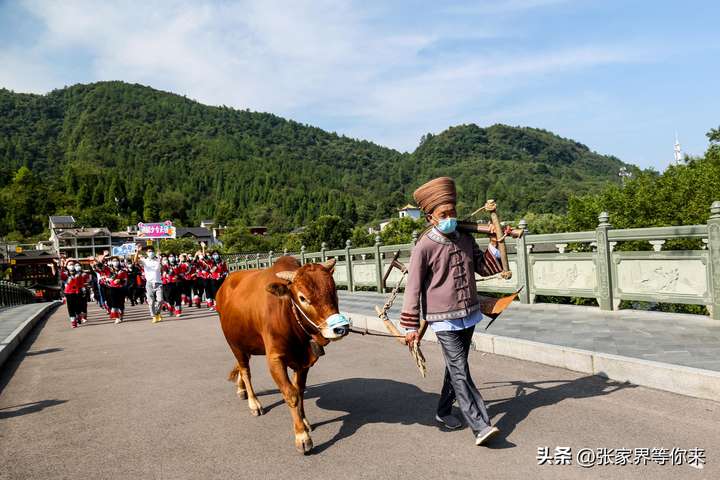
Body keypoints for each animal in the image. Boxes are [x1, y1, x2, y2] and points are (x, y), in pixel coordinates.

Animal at [214, 255, 348, 454]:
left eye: (334, 290)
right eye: (302, 297)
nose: (340, 328)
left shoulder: (304, 361)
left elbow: (299, 390)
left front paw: (304, 421)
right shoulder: (275, 359)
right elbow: (290, 394)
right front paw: (302, 436)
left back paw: (241, 388)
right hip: (234, 344)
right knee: (245, 370)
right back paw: (253, 402)